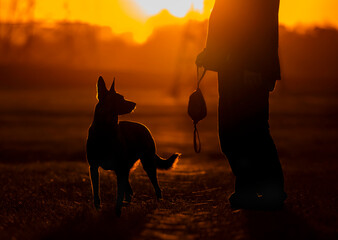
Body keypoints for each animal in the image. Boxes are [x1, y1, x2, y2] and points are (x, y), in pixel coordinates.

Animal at [86, 76, 180, 216]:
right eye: (120, 99)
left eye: (123, 97)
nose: (135, 104)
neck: (105, 130)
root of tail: (144, 127)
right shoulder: (94, 167)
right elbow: (96, 193)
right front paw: (98, 209)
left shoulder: (120, 168)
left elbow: (119, 194)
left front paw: (117, 211)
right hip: (123, 170)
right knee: (129, 191)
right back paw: (127, 203)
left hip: (147, 165)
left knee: (155, 188)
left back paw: (158, 203)